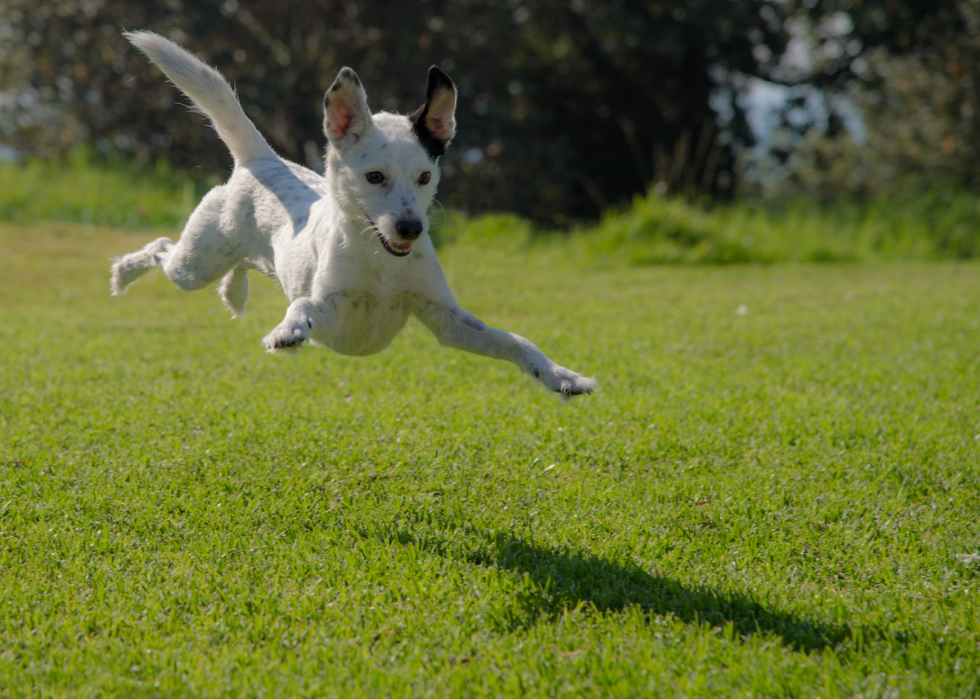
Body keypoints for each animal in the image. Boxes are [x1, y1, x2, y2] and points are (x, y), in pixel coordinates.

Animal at [111, 31, 592, 400]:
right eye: (374, 176)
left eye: (425, 176)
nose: (411, 228)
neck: (381, 263)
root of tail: (262, 160)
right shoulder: (331, 310)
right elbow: (304, 305)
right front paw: (288, 331)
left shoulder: (447, 320)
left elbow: (515, 341)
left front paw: (561, 376)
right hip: (195, 264)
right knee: (161, 249)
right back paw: (124, 273)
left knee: (240, 265)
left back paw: (234, 291)